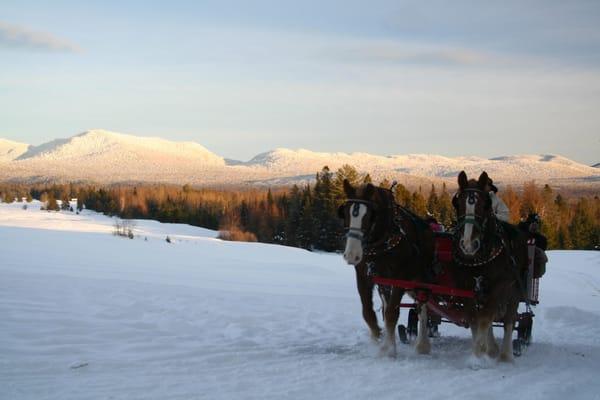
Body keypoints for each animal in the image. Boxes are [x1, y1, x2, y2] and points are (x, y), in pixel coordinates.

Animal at [338, 180, 436, 354]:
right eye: (345, 213)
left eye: (369, 216)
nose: (351, 254)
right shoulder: (364, 276)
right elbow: (369, 312)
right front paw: (377, 337)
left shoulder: (400, 278)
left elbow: (392, 312)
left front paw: (388, 349)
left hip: (422, 278)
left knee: (422, 307)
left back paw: (422, 345)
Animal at [454, 170, 524, 360]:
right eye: (457, 203)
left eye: (485, 205)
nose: (468, 245)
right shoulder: (467, 289)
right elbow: (475, 320)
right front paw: (484, 350)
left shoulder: (499, 287)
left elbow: (485, 319)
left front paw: (477, 355)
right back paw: (492, 348)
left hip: (514, 291)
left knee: (509, 320)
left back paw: (506, 355)